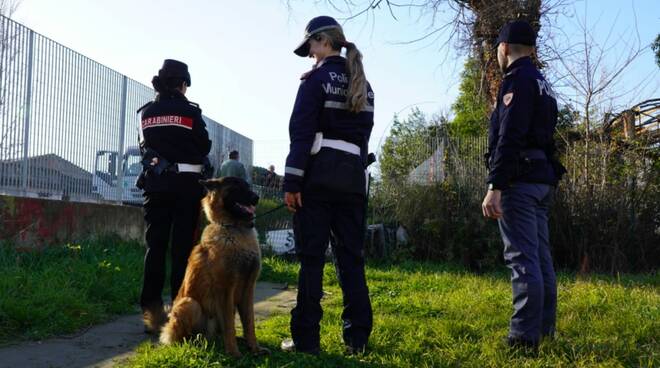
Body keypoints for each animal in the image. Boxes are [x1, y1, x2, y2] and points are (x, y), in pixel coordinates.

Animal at [150, 178, 268, 356]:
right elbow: (230, 326)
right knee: (183, 336)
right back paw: (193, 344)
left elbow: (249, 323)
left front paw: (254, 348)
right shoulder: (226, 290)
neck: (235, 229)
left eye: (248, 186)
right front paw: (234, 352)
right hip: (190, 304)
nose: (257, 198)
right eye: (237, 187)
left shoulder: (248, 289)